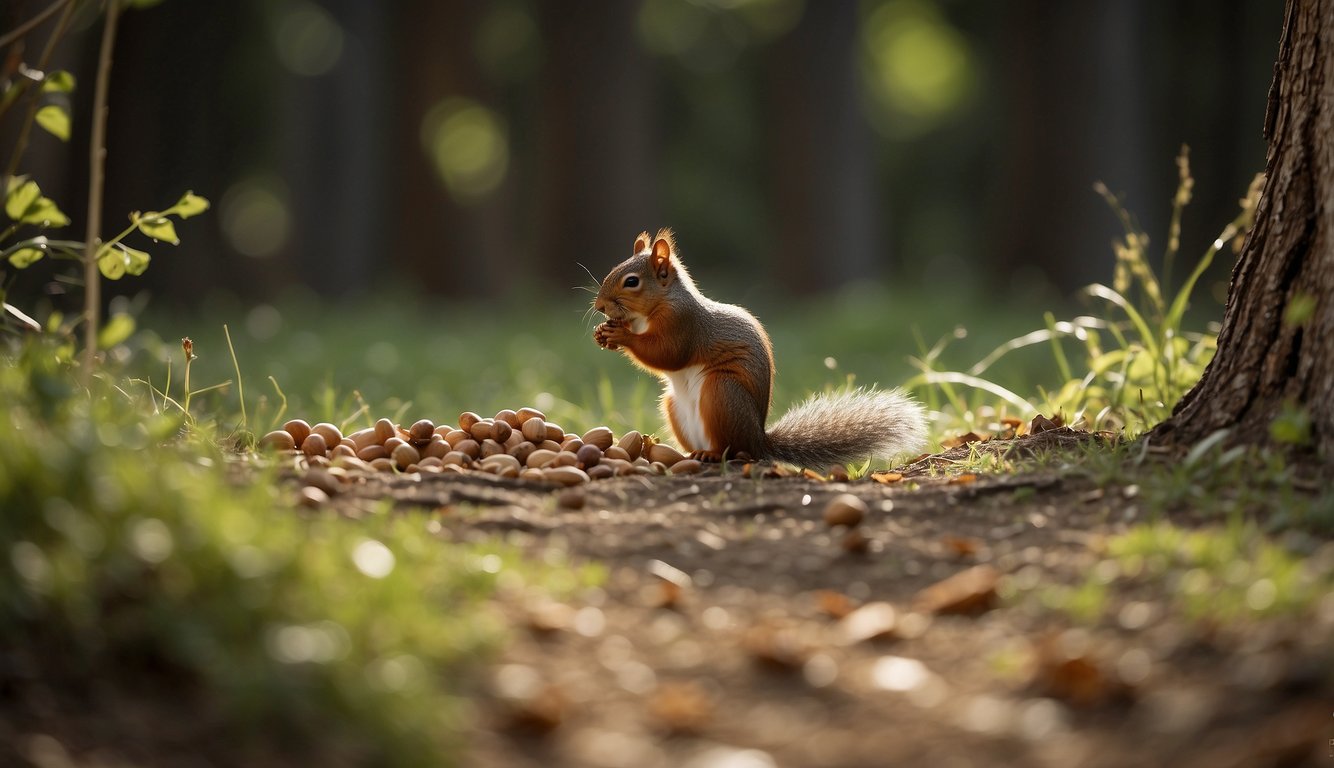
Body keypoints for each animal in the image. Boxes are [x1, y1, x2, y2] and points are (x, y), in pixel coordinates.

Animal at [594, 228, 928, 469]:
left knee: (734, 450)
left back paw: (713, 455)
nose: (599, 307)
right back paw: (682, 453)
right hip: (674, 405)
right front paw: (603, 334)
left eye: (632, 281)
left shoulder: (684, 324)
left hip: (722, 393)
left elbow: (668, 353)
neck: (657, 306)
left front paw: (622, 336)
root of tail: (758, 439)